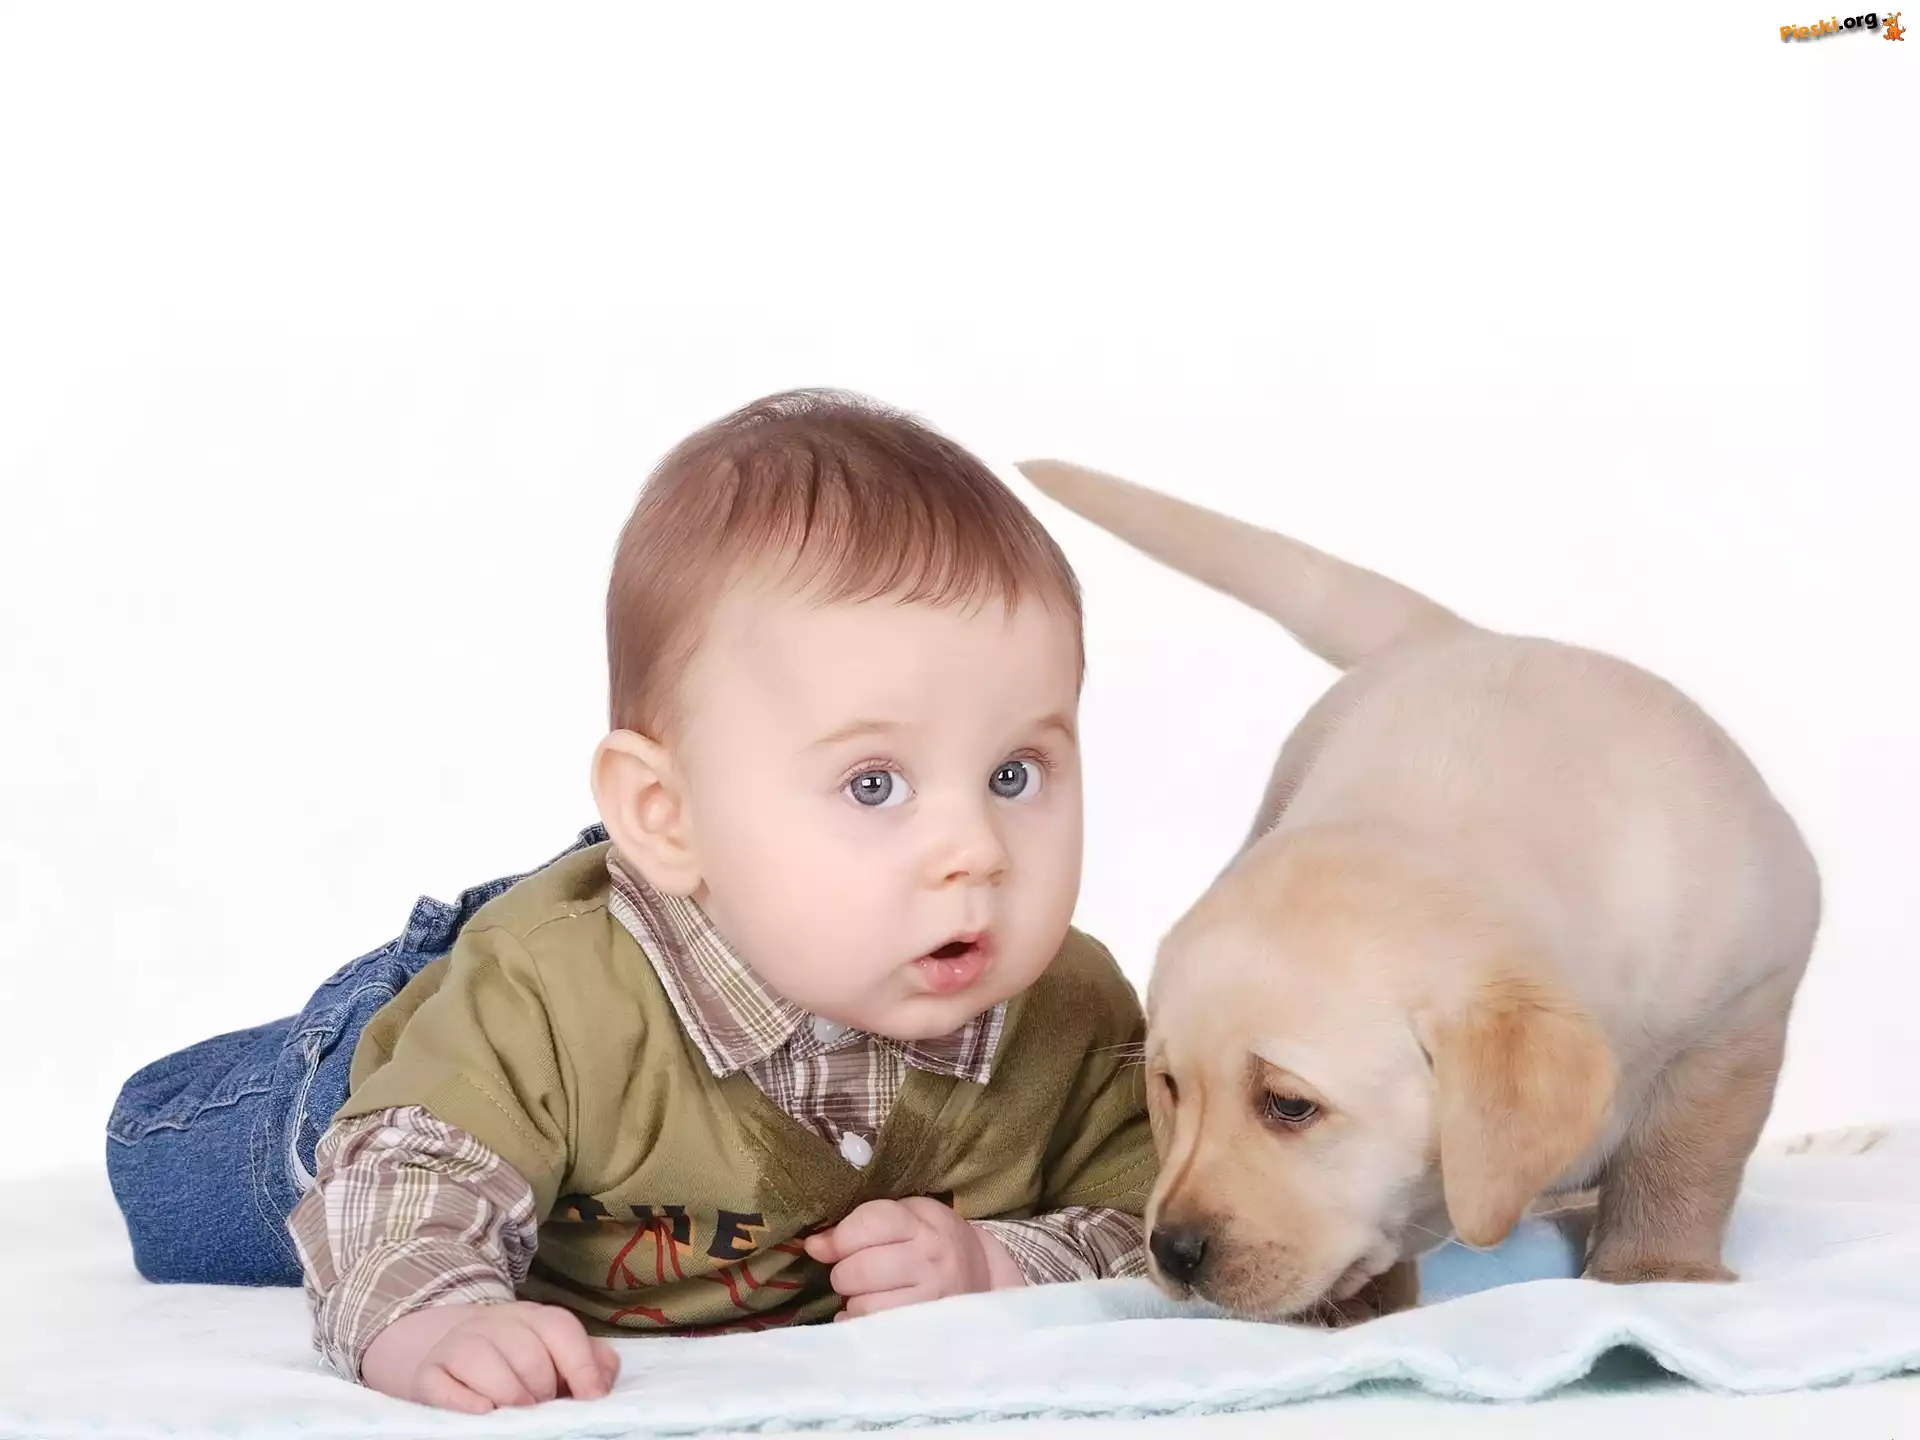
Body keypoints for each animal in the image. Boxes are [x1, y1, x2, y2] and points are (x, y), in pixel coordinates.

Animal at [1016, 458, 1821, 1324]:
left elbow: (1680, 1162)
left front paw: (1655, 1270)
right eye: (1169, 1087)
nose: (1172, 1249)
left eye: (1289, 1105)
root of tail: (1460, 637)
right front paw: (1363, 1301)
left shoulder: (1738, 1016)